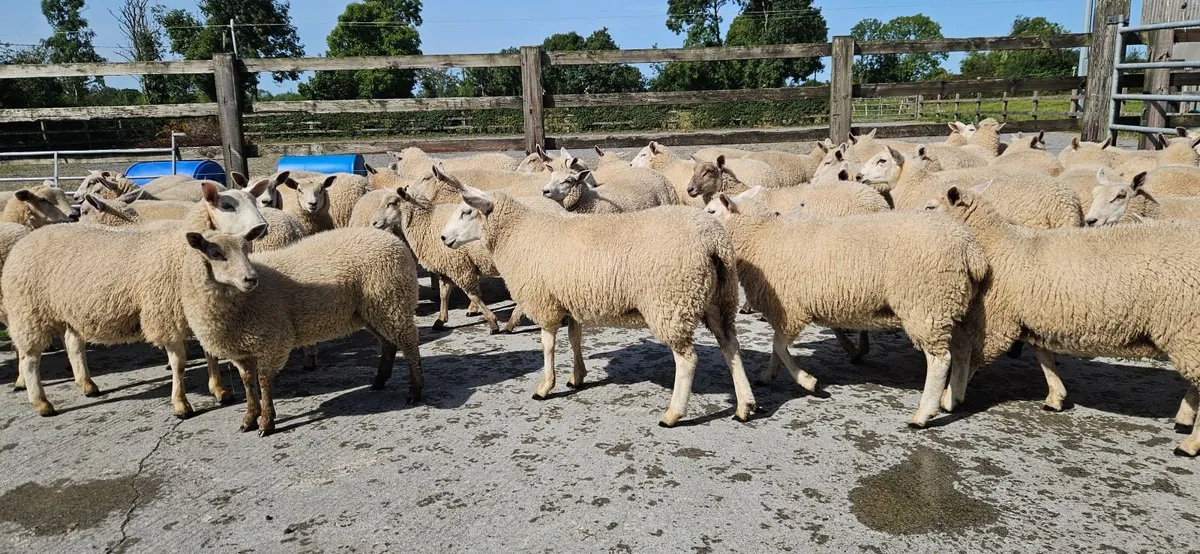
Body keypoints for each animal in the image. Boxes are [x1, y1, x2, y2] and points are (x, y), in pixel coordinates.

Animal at [4, 182, 270, 418]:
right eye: (227, 205)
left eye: (254, 200)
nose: (262, 226)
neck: (181, 252)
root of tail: (29, 238)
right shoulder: (164, 316)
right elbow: (179, 363)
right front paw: (181, 404)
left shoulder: (197, 311)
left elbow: (210, 353)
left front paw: (219, 390)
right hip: (29, 312)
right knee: (30, 358)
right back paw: (41, 403)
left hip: (72, 310)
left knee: (73, 343)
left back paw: (87, 385)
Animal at [179, 227, 422, 436]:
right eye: (215, 253)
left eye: (248, 249)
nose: (251, 279)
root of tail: (392, 239)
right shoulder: (240, 351)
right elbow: (248, 383)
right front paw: (249, 419)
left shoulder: (271, 341)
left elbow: (264, 382)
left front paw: (266, 423)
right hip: (372, 311)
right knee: (388, 344)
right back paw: (379, 381)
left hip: (392, 301)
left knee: (410, 346)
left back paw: (415, 391)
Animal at [436, 168, 757, 426]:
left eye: (466, 212)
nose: (442, 238)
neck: (516, 235)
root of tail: (712, 241)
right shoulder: (569, 299)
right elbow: (575, 338)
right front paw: (577, 377)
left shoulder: (545, 301)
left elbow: (548, 347)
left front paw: (545, 386)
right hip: (719, 299)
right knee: (730, 347)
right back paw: (744, 406)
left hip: (671, 303)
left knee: (688, 360)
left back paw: (673, 414)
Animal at [709, 190, 987, 426]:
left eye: (711, 211)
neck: (762, 236)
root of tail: (971, 252)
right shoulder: (784, 310)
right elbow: (777, 348)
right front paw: (768, 375)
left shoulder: (791, 309)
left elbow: (778, 345)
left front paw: (809, 382)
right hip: (950, 306)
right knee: (963, 350)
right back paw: (952, 398)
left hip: (925, 305)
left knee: (940, 360)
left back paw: (923, 414)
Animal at [933, 184, 1200, 456]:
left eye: (931, 206)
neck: (999, 246)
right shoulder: (1036, 318)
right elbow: (1044, 357)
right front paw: (1056, 397)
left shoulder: (1000, 320)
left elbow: (975, 358)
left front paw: (949, 398)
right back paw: (1185, 418)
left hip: (1186, 327)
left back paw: (1189, 444)